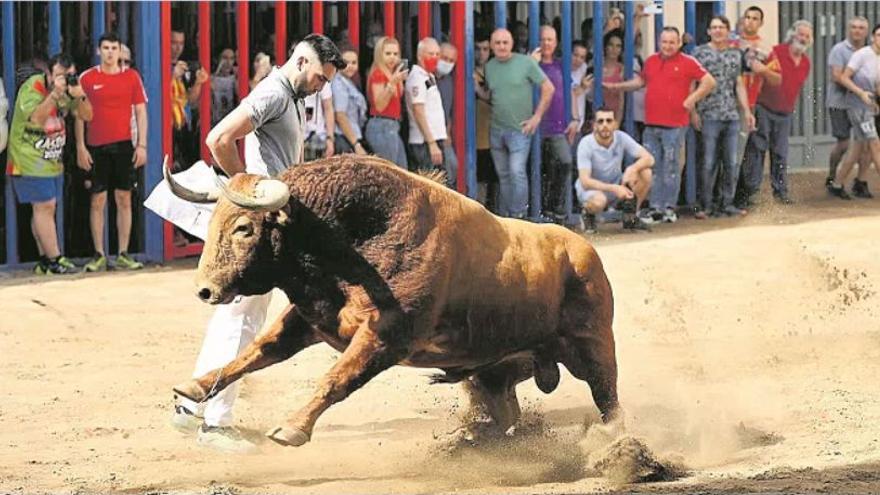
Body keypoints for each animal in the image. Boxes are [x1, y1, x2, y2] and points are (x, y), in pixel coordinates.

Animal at [170, 156, 620, 450]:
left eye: (244, 228)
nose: (204, 290)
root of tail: (584, 253)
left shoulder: (386, 336)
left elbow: (336, 378)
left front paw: (291, 429)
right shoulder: (313, 318)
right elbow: (259, 351)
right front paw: (195, 385)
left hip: (593, 348)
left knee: (608, 401)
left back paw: (619, 450)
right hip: (494, 371)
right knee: (506, 414)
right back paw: (468, 439)